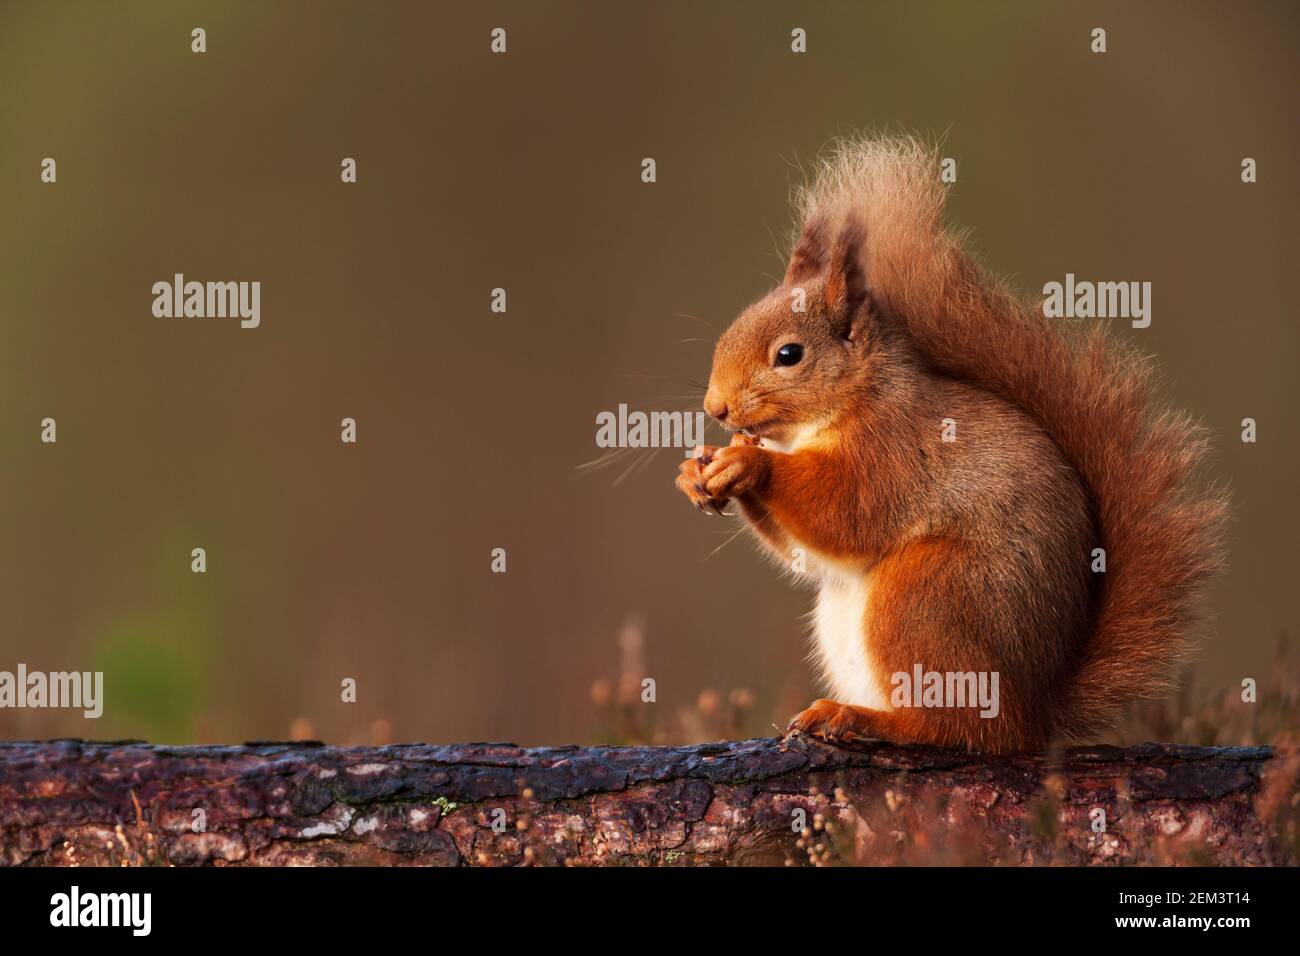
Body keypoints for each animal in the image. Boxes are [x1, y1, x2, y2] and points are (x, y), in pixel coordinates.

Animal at [681, 134, 1227, 749]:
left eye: (789, 354)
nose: (715, 408)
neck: (847, 403)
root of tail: (1035, 713)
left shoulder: (893, 449)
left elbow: (846, 510)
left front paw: (748, 464)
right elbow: (805, 551)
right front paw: (697, 471)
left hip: (926, 598)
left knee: (959, 727)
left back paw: (863, 718)